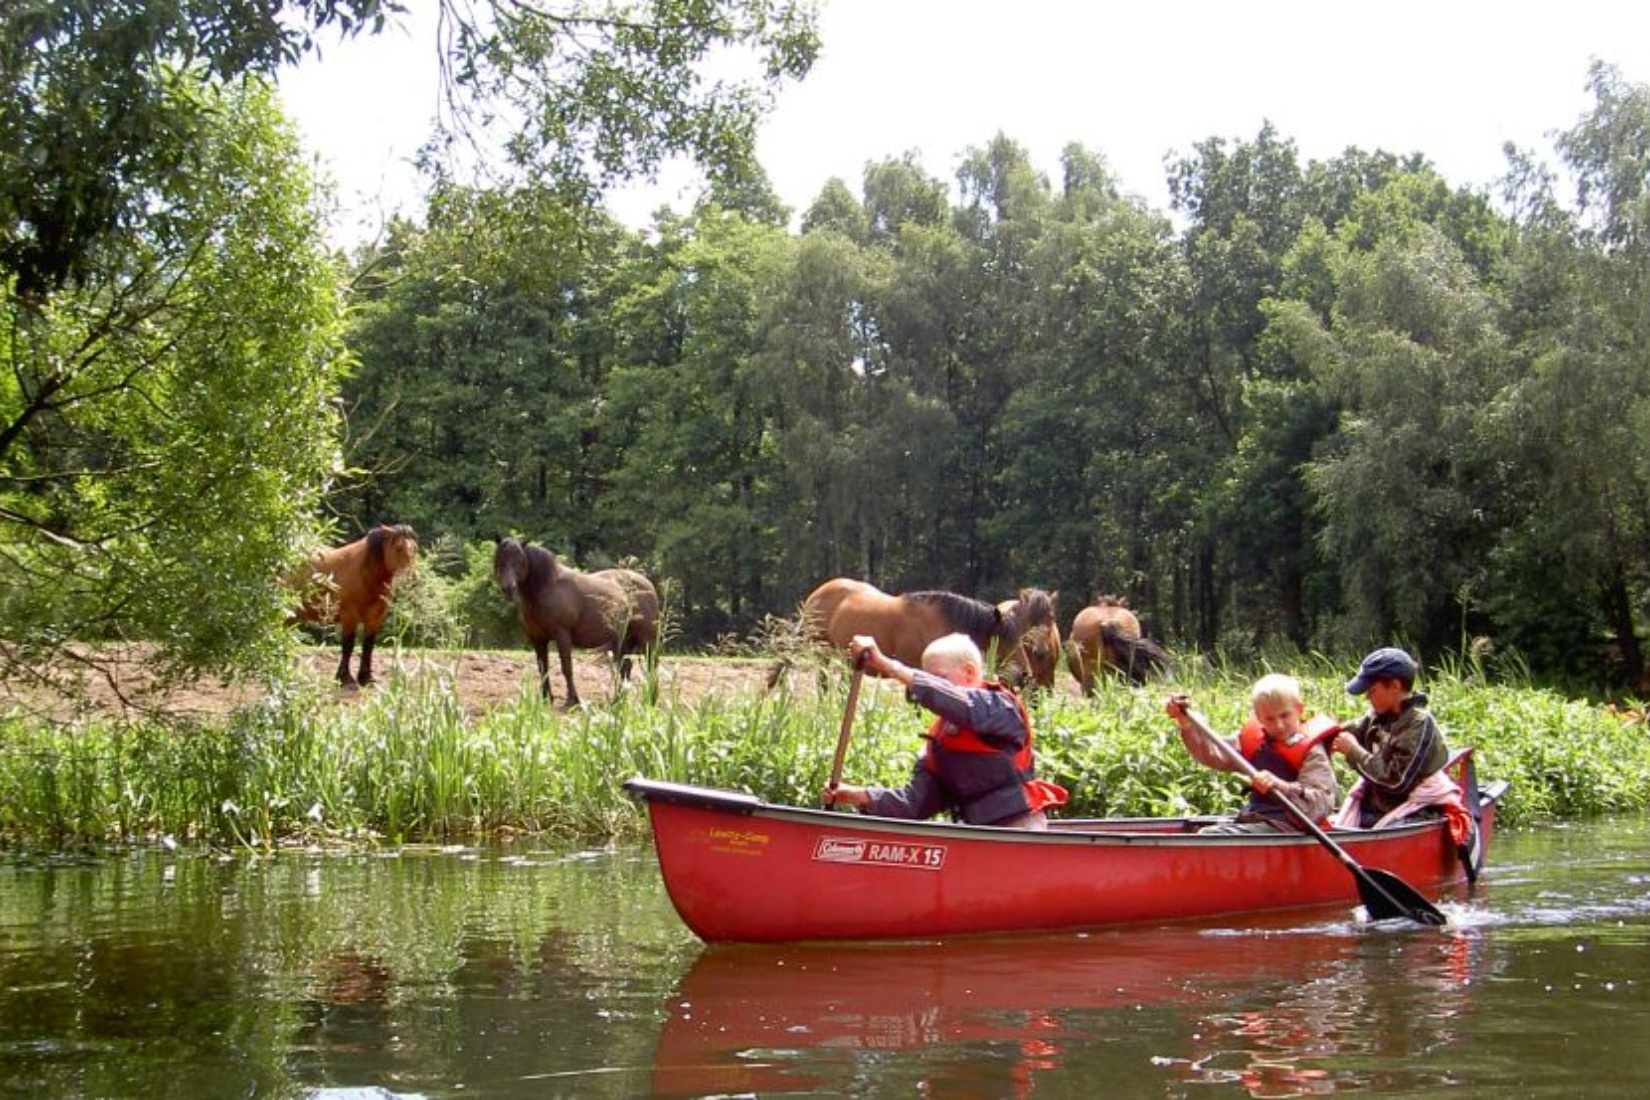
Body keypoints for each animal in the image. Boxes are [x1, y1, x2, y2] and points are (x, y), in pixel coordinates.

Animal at [298, 524, 422, 689]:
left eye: (415, 548)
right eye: (398, 548)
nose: (413, 580)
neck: (364, 573)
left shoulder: (375, 618)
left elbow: (368, 646)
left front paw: (366, 678)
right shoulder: (349, 617)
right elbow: (348, 645)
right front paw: (345, 677)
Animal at [491, 540, 660, 705]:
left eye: (520, 560)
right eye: (500, 559)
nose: (508, 588)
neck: (548, 586)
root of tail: (647, 584)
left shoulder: (562, 635)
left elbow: (566, 667)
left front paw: (573, 699)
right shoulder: (537, 638)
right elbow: (543, 668)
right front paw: (546, 698)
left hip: (647, 640)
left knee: (651, 665)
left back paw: (651, 699)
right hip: (624, 640)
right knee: (625, 667)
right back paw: (618, 701)